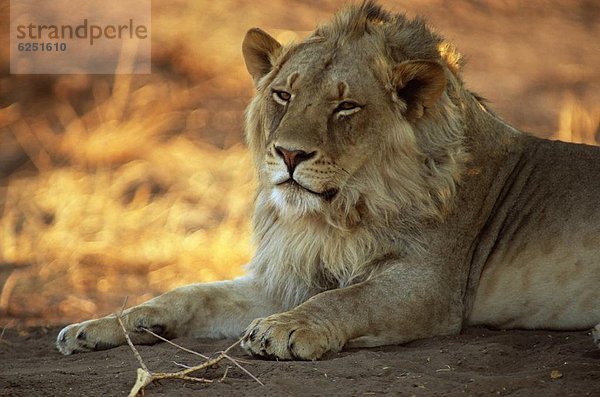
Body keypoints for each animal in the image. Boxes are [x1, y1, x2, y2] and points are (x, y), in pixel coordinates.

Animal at [56, 0, 600, 358]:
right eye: (283, 95)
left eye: (346, 106)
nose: (289, 153)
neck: (332, 216)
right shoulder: (293, 275)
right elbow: (192, 293)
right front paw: (104, 325)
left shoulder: (427, 284)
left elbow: (346, 298)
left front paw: (282, 331)